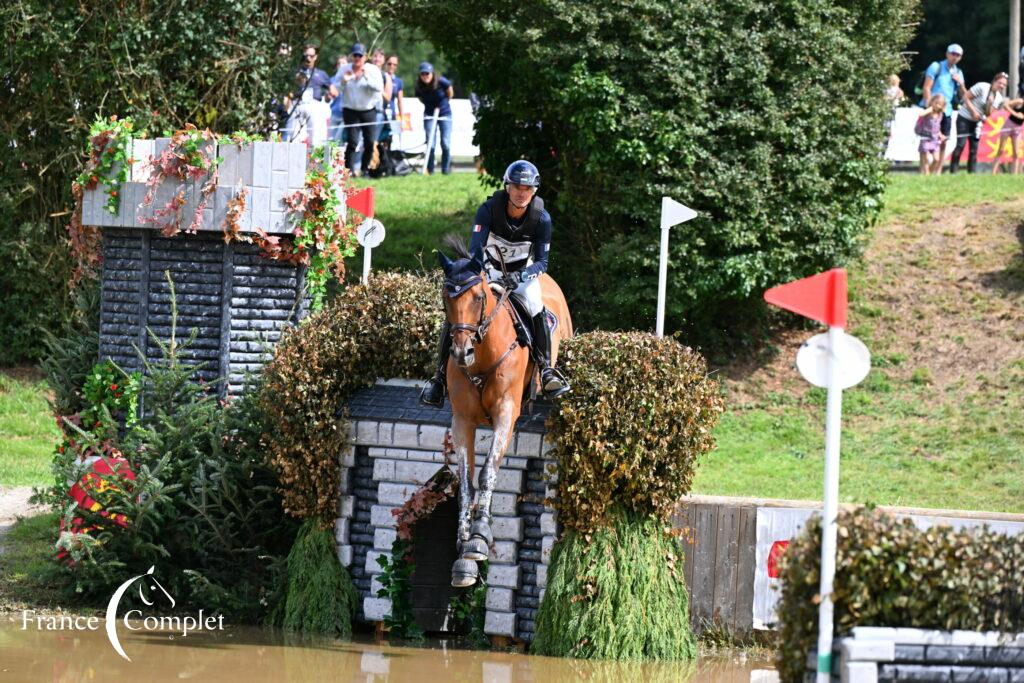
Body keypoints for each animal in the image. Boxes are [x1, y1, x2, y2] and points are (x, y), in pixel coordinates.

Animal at [436, 240, 573, 589]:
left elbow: (487, 472)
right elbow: (466, 481)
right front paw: (463, 552)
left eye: (478, 297)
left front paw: (479, 538)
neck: (483, 356)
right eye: (446, 298)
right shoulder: (462, 421)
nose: (461, 353)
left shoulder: (505, 415)